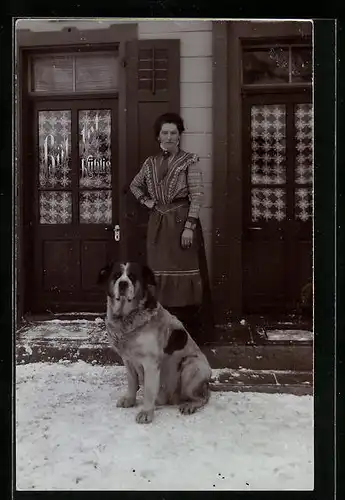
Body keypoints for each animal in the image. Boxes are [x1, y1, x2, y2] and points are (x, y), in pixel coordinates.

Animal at [97, 262, 212, 422]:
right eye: (116, 275)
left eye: (132, 276)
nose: (123, 283)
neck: (127, 319)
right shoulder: (128, 360)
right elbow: (132, 382)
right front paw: (130, 400)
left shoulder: (151, 363)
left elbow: (149, 390)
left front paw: (146, 413)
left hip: (191, 366)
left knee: (203, 397)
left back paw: (189, 405)